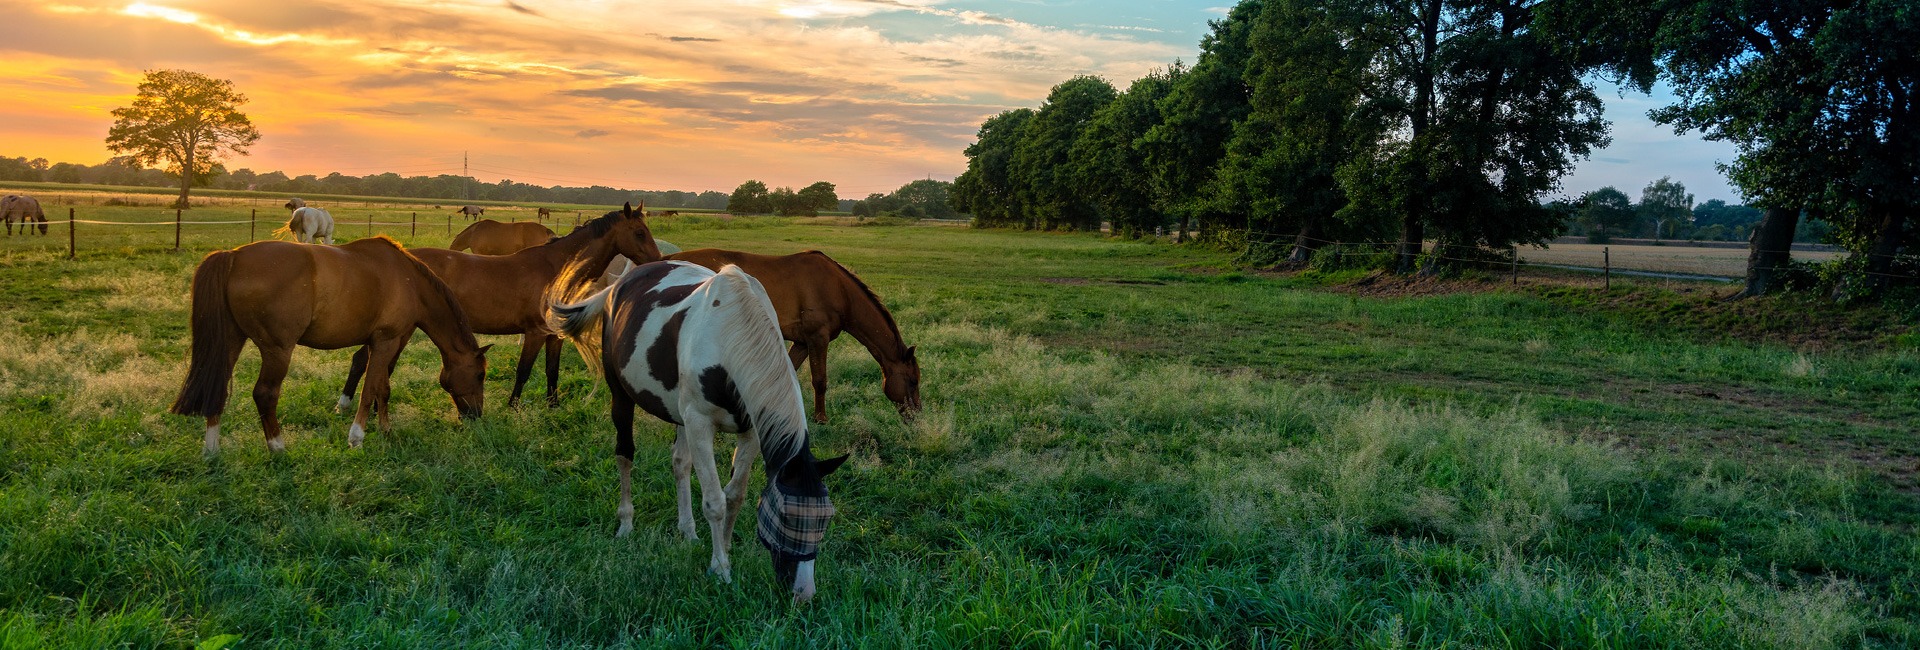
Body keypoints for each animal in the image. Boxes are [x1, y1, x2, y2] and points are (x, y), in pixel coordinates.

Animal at [169, 237, 491, 457]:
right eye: (480, 375)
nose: (476, 416)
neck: (409, 280)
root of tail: (234, 256)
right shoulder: (386, 341)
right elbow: (370, 390)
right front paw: (357, 437)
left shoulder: (381, 343)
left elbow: (383, 388)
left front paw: (386, 430)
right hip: (277, 350)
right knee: (265, 394)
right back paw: (277, 447)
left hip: (231, 341)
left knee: (217, 387)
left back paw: (212, 451)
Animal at [337, 203, 663, 411]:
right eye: (639, 233)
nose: (657, 261)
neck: (555, 269)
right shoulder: (534, 333)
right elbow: (524, 371)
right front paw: (513, 406)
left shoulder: (553, 335)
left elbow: (552, 371)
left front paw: (553, 405)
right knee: (363, 359)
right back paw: (346, 404)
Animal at [548, 260, 849, 602]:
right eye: (786, 516)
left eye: (825, 518)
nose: (804, 593)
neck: (730, 335)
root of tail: (619, 285)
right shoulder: (700, 423)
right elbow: (715, 502)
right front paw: (720, 568)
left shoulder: (750, 430)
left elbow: (735, 495)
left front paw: (726, 548)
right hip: (622, 396)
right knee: (625, 456)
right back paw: (625, 524)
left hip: (680, 417)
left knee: (680, 464)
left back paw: (688, 530)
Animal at [664, 249, 921, 423]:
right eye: (912, 381)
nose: (917, 416)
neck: (838, 290)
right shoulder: (818, 339)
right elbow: (820, 380)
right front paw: (820, 419)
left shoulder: (802, 343)